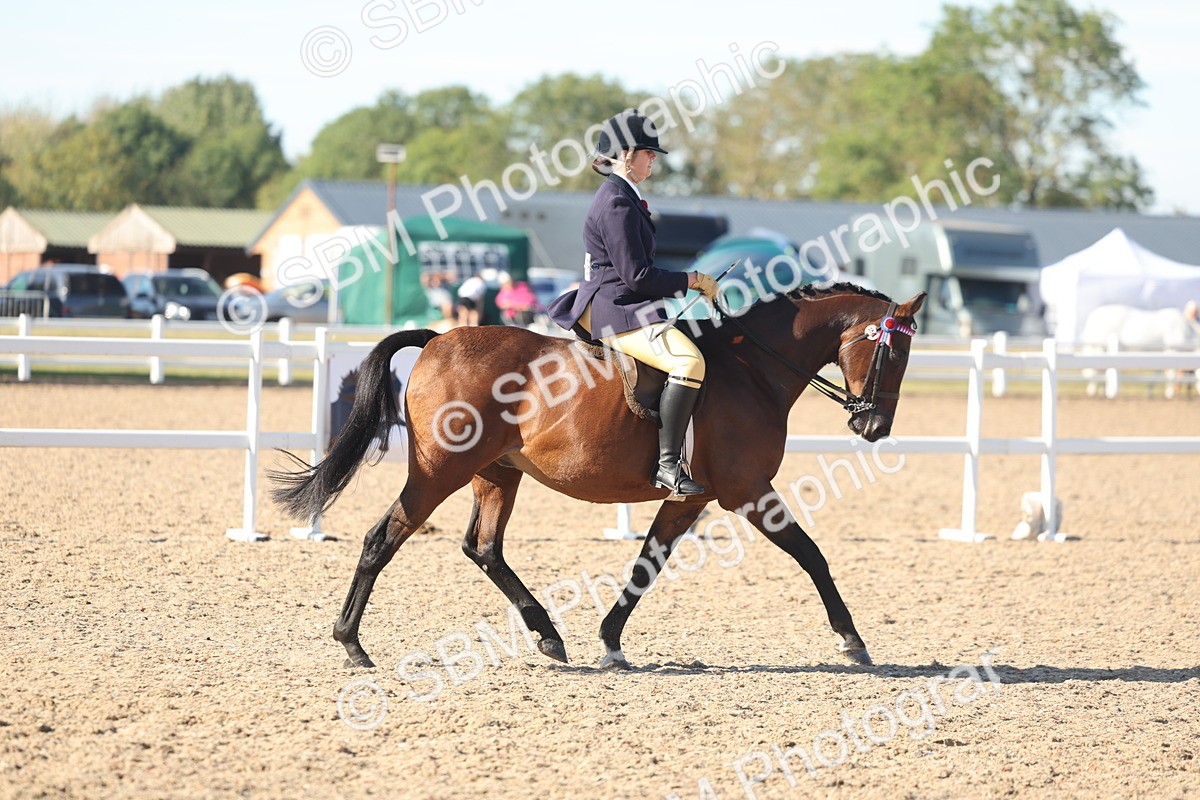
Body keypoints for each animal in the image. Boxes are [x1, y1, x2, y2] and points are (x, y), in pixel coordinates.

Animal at [270, 283, 927, 670]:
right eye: (893, 354)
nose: (874, 427)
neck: (753, 369)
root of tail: (437, 339)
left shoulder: (692, 498)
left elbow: (646, 565)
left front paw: (610, 640)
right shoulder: (747, 491)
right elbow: (812, 554)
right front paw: (852, 641)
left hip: (496, 474)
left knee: (483, 548)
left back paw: (548, 636)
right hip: (439, 471)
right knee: (383, 538)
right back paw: (352, 643)